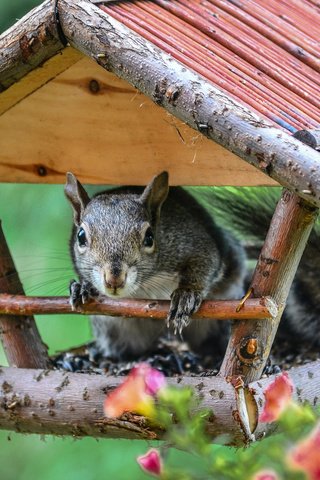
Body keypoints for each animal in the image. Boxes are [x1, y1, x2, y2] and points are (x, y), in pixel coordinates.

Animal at [64, 171, 245, 358]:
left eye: (150, 237)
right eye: (80, 236)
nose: (114, 279)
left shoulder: (192, 241)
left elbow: (206, 260)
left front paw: (186, 294)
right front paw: (82, 287)